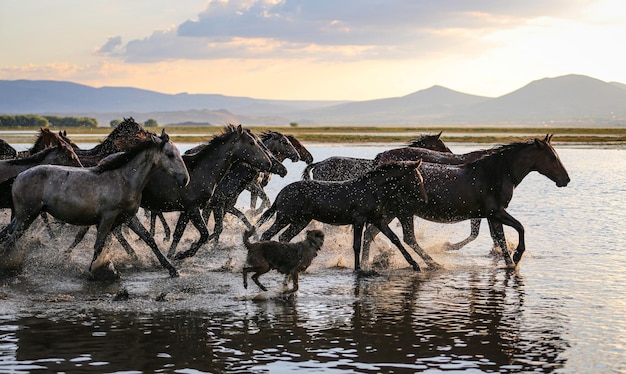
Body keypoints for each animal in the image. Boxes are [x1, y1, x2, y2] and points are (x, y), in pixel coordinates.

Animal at [1, 130, 189, 276]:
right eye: (170, 154)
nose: (185, 180)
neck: (124, 179)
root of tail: (19, 176)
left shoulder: (129, 217)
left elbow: (149, 239)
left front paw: (172, 269)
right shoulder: (107, 217)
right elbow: (99, 245)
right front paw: (92, 270)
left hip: (22, 216)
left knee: (7, 235)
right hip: (27, 216)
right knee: (10, 238)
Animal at [252, 159, 424, 270]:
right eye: (417, 179)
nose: (423, 199)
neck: (372, 190)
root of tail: (282, 191)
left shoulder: (377, 219)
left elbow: (395, 239)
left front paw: (415, 265)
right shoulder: (359, 220)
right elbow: (356, 245)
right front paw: (357, 268)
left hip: (300, 221)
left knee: (284, 237)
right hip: (285, 217)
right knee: (267, 234)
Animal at [358, 134, 568, 268]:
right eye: (552, 157)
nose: (566, 179)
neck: (496, 174)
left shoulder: (492, 215)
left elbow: (499, 238)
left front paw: (509, 262)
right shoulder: (496, 212)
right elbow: (518, 228)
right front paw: (516, 256)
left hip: (391, 212)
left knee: (370, 234)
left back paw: (366, 263)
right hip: (403, 212)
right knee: (407, 238)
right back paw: (433, 264)